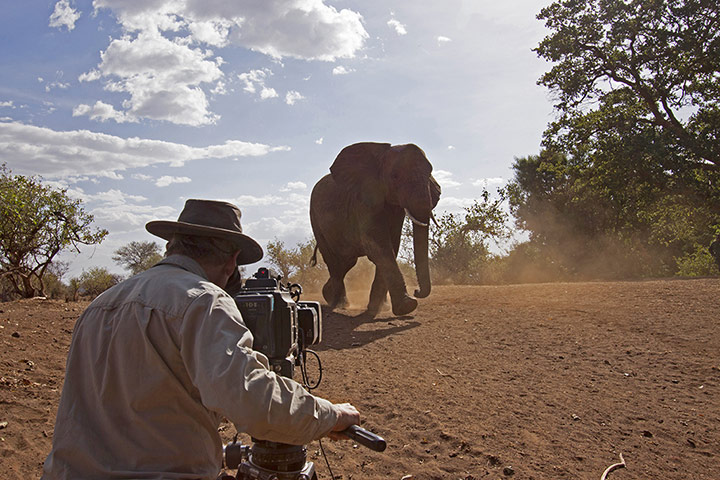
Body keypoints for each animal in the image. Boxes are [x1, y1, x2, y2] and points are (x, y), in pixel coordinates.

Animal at [310, 141, 438, 316]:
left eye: (430, 172)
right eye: (395, 176)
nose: (416, 291)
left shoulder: (395, 207)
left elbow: (392, 245)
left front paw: (379, 309)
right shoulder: (364, 201)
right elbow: (377, 244)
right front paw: (407, 306)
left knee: (346, 262)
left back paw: (329, 295)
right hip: (315, 220)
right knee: (334, 260)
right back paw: (339, 304)